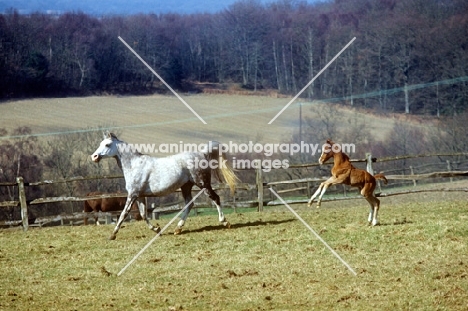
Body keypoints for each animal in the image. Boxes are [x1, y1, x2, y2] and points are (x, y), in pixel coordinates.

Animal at [90, 133, 239, 240]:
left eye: (108, 144)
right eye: (100, 143)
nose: (94, 156)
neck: (134, 165)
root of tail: (202, 153)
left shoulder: (132, 195)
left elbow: (123, 214)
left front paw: (112, 235)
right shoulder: (140, 196)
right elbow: (143, 214)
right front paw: (157, 230)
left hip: (203, 184)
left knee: (216, 198)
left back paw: (225, 222)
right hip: (186, 186)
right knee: (189, 204)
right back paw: (178, 229)